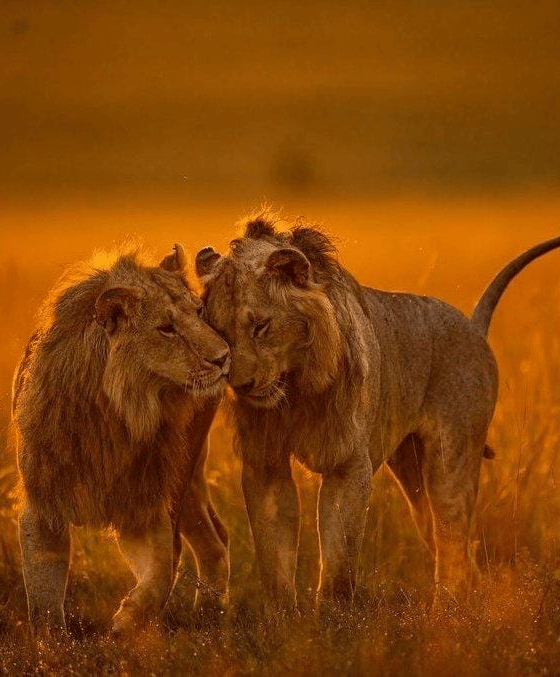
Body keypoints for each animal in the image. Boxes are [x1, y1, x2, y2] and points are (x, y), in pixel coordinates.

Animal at [12, 244, 231, 636]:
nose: (224, 358)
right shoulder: (43, 502)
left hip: (184, 472)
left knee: (201, 544)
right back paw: (207, 618)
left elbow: (159, 571)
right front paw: (53, 646)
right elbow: (43, 597)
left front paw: (127, 622)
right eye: (166, 329)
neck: (113, 414)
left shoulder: (145, 501)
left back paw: (206, 621)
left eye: (199, 311)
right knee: (213, 539)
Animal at [195, 212, 560, 613]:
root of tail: (472, 326)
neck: (296, 386)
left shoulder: (347, 462)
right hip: (411, 470)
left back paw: (447, 608)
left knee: (451, 534)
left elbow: (339, 552)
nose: (241, 385)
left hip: (451, 460)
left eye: (261, 326)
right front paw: (283, 618)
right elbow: (273, 551)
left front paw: (333, 615)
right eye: (218, 331)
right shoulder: (265, 463)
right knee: (448, 539)